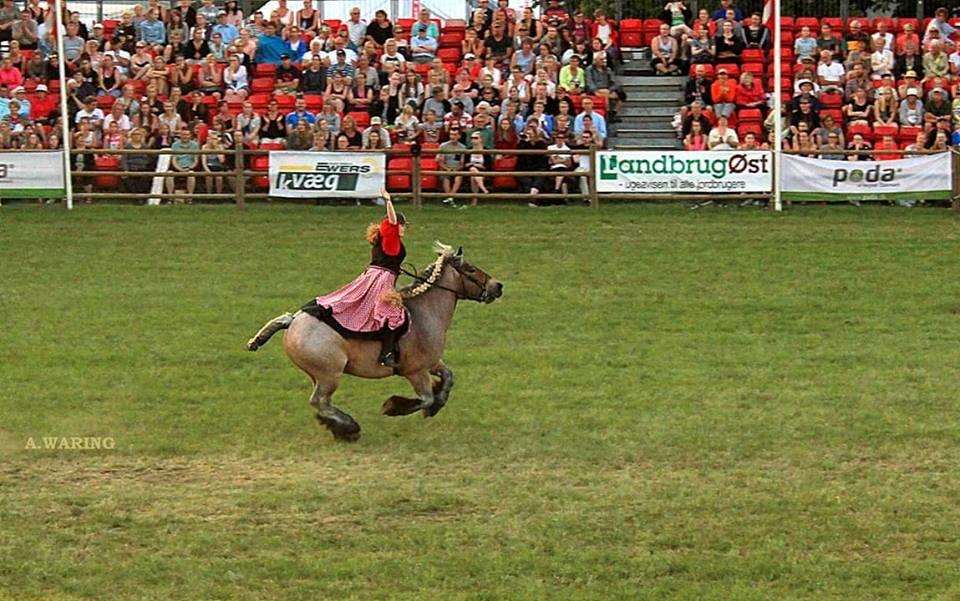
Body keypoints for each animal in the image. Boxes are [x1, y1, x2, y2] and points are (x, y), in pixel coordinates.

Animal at [246, 243, 502, 440]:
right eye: (471, 269)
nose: (498, 286)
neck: (423, 314)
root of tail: (294, 322)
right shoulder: (415, 371)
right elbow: (425, 398)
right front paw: (394, 407)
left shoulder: (431, 363)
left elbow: (449, 377)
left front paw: (438, 403)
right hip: (330, 375)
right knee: (319, 401)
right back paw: (348, 427)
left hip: (318, 375)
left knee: (321, 403)